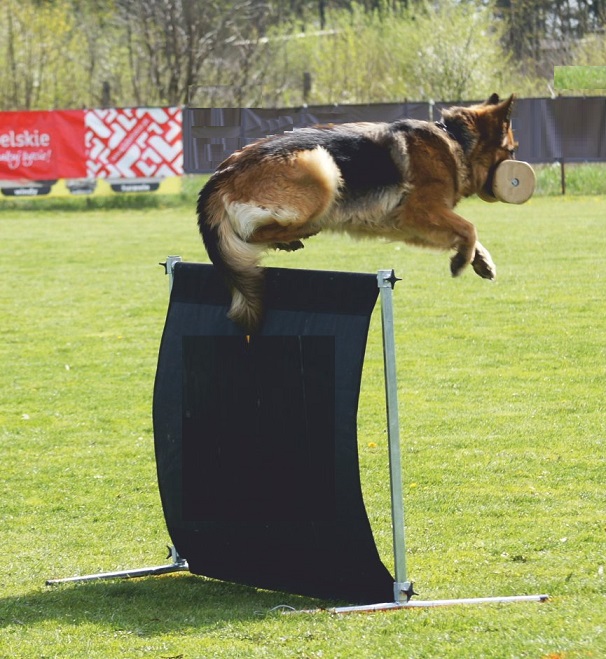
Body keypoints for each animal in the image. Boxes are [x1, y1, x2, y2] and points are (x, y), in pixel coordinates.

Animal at [200, 92, 516, 330]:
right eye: (512, 150)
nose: (516, 178)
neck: (456, 141)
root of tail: (224, 171)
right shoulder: (419, 211)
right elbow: (469, 227)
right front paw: (462, 261)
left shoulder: (411, 227)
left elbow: (467, 233)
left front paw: (480, 260)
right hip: (321, 166)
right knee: (253, 234)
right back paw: (302, 231)